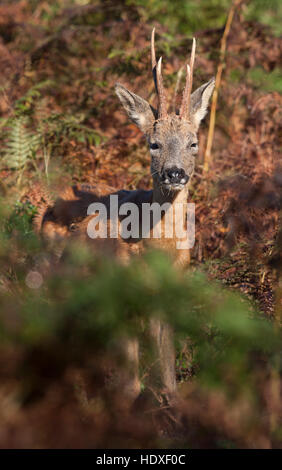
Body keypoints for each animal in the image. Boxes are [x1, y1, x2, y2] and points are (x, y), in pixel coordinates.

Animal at [35, 30, 215, 408]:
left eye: (193, 143)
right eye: (153, 143)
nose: (174, 173)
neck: (158, 248)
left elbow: (167, 362)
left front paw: (172, 401)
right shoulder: (118, 288)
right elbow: (130, 381)